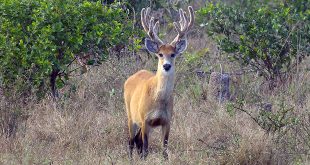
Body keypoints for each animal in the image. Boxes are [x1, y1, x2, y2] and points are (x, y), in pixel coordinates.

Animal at [123, 5, 194, 159]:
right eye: (160, 54)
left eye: (173, 54)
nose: (166, 65)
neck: (158, 100)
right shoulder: (145, 119)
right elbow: (146, 148)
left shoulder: (167, 120)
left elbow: (164, 149)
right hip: (130, 114)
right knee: (131, 140)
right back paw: (130, 158)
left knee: (136, 140)